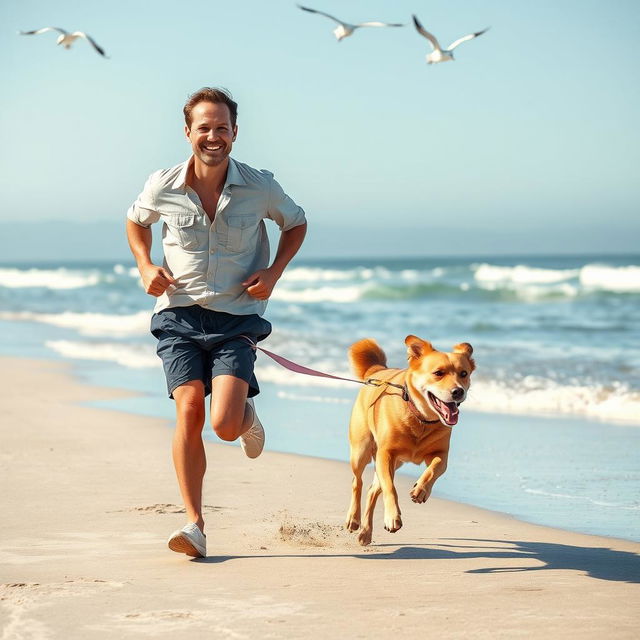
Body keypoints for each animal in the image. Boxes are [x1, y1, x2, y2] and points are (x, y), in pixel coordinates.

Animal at [344, 336, 476, 544]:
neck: (421, 418)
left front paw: (421, 490)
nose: (458, 391)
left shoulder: (440, 453)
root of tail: (378, 370)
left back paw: (366, 532)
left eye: (464, 373)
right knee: (357, 482)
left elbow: (435, 468)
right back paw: (354, 519)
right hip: (361, 451)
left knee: (373, 490)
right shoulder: (386, 454)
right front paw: (392, 517)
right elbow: (390, 488)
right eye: (438, 373)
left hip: (394, 463)